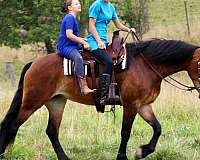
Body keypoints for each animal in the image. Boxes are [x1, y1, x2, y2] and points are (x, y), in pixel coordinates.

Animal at [0, 38, 200, 159]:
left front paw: (142, 151)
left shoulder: (143, 106)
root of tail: (34, 63)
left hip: (56, 102)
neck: (146, 66)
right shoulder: (131, 105)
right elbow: (125, 132)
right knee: (12, 126)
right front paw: (123, 156)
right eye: (199, 64)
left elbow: (157, 128)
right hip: (32, 103)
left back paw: (64, 158)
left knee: (51, 131)